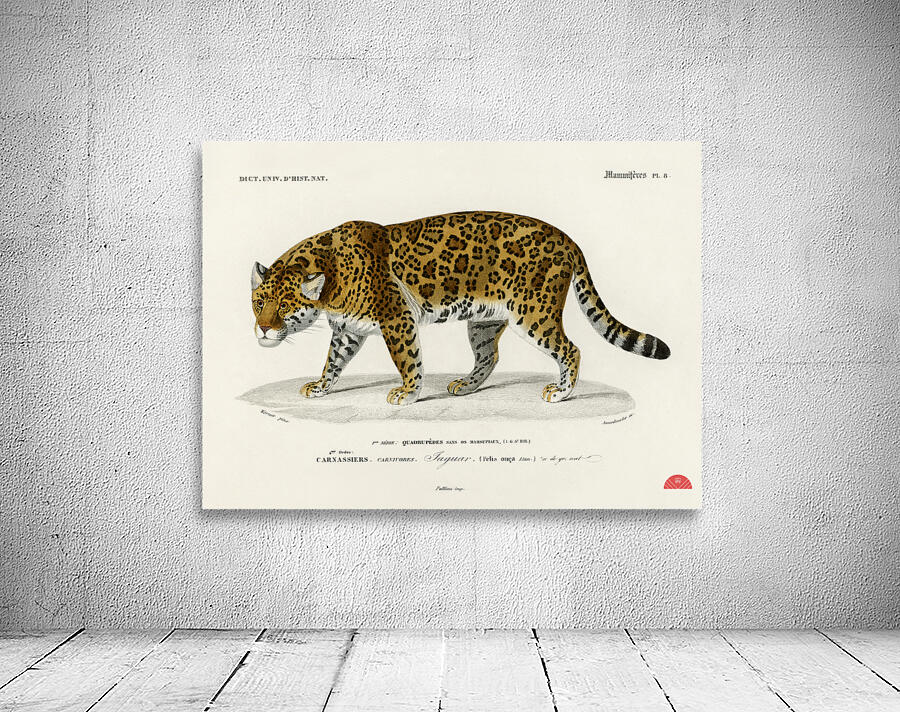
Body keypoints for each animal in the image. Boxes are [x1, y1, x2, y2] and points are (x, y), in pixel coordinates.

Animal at [250, 211, 670, 405]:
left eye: (284, 305)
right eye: (259, 302)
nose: (264, 329)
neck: (330, 283)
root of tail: (568, 239)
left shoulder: (396, 318)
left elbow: (408, 359)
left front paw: (408, 393)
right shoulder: (347, 328)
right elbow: (333, 361)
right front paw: (320, 386)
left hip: (533, 312)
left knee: (571, 349)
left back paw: (562, 392)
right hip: (485, 321)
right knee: (490, 356)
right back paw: (466, 386)